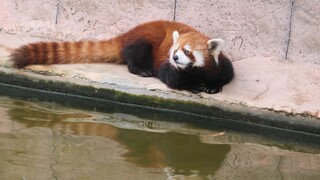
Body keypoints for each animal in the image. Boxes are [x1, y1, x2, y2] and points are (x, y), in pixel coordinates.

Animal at [10, 20, 234, 94]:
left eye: (187, 51)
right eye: (174, 50)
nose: (176, 58)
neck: (196, 71)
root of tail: (127, 34)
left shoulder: (221, 64)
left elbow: (226, 75)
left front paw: (212, 86)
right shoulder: (168, 66)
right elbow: (172, 78)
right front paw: (193, 85)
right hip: (145, 41)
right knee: (134, 55)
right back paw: (142, 69)